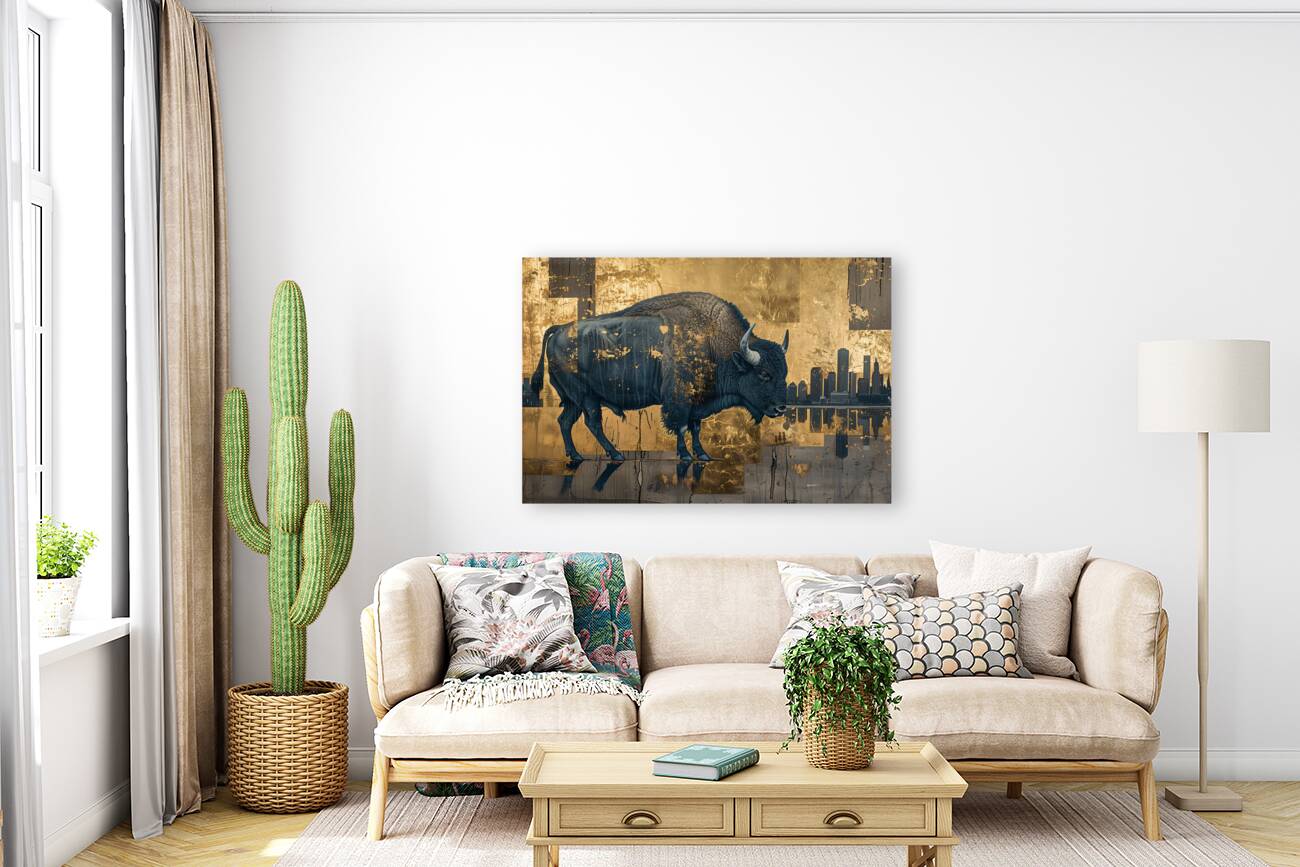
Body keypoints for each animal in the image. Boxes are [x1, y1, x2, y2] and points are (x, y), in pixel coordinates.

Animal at [527, 292, 789, 462]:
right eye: (764, 374)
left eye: (784, 373)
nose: (781, 408)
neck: (713, 342)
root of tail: (559, 329)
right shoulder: (679, 400)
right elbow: (681, 426)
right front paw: (685, 456)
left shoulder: (697, 402)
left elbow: (695, 427)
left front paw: (703, 455)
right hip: (586, 397)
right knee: (592, 423)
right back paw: (616, 454)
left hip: (574, 400)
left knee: (565, 421)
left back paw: (576, 455)